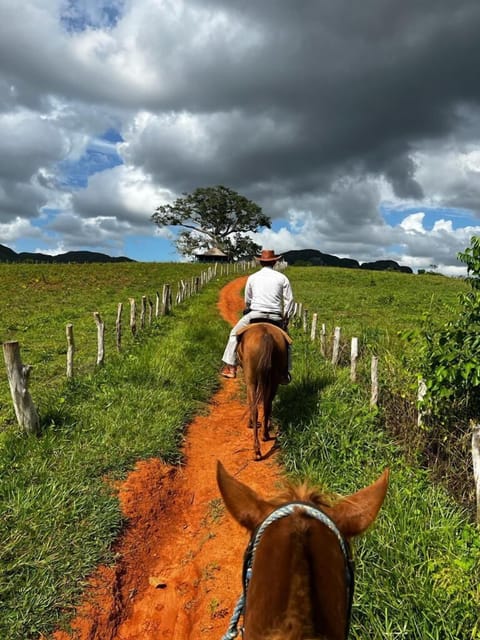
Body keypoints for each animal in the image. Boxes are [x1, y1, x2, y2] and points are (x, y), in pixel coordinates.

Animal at [235, 324, 288, 460]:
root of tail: (266, 334)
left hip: (251, 378)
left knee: (255, 409)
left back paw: (256, 450)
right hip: (274, 378)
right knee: (267, 405)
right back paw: (265, 435)